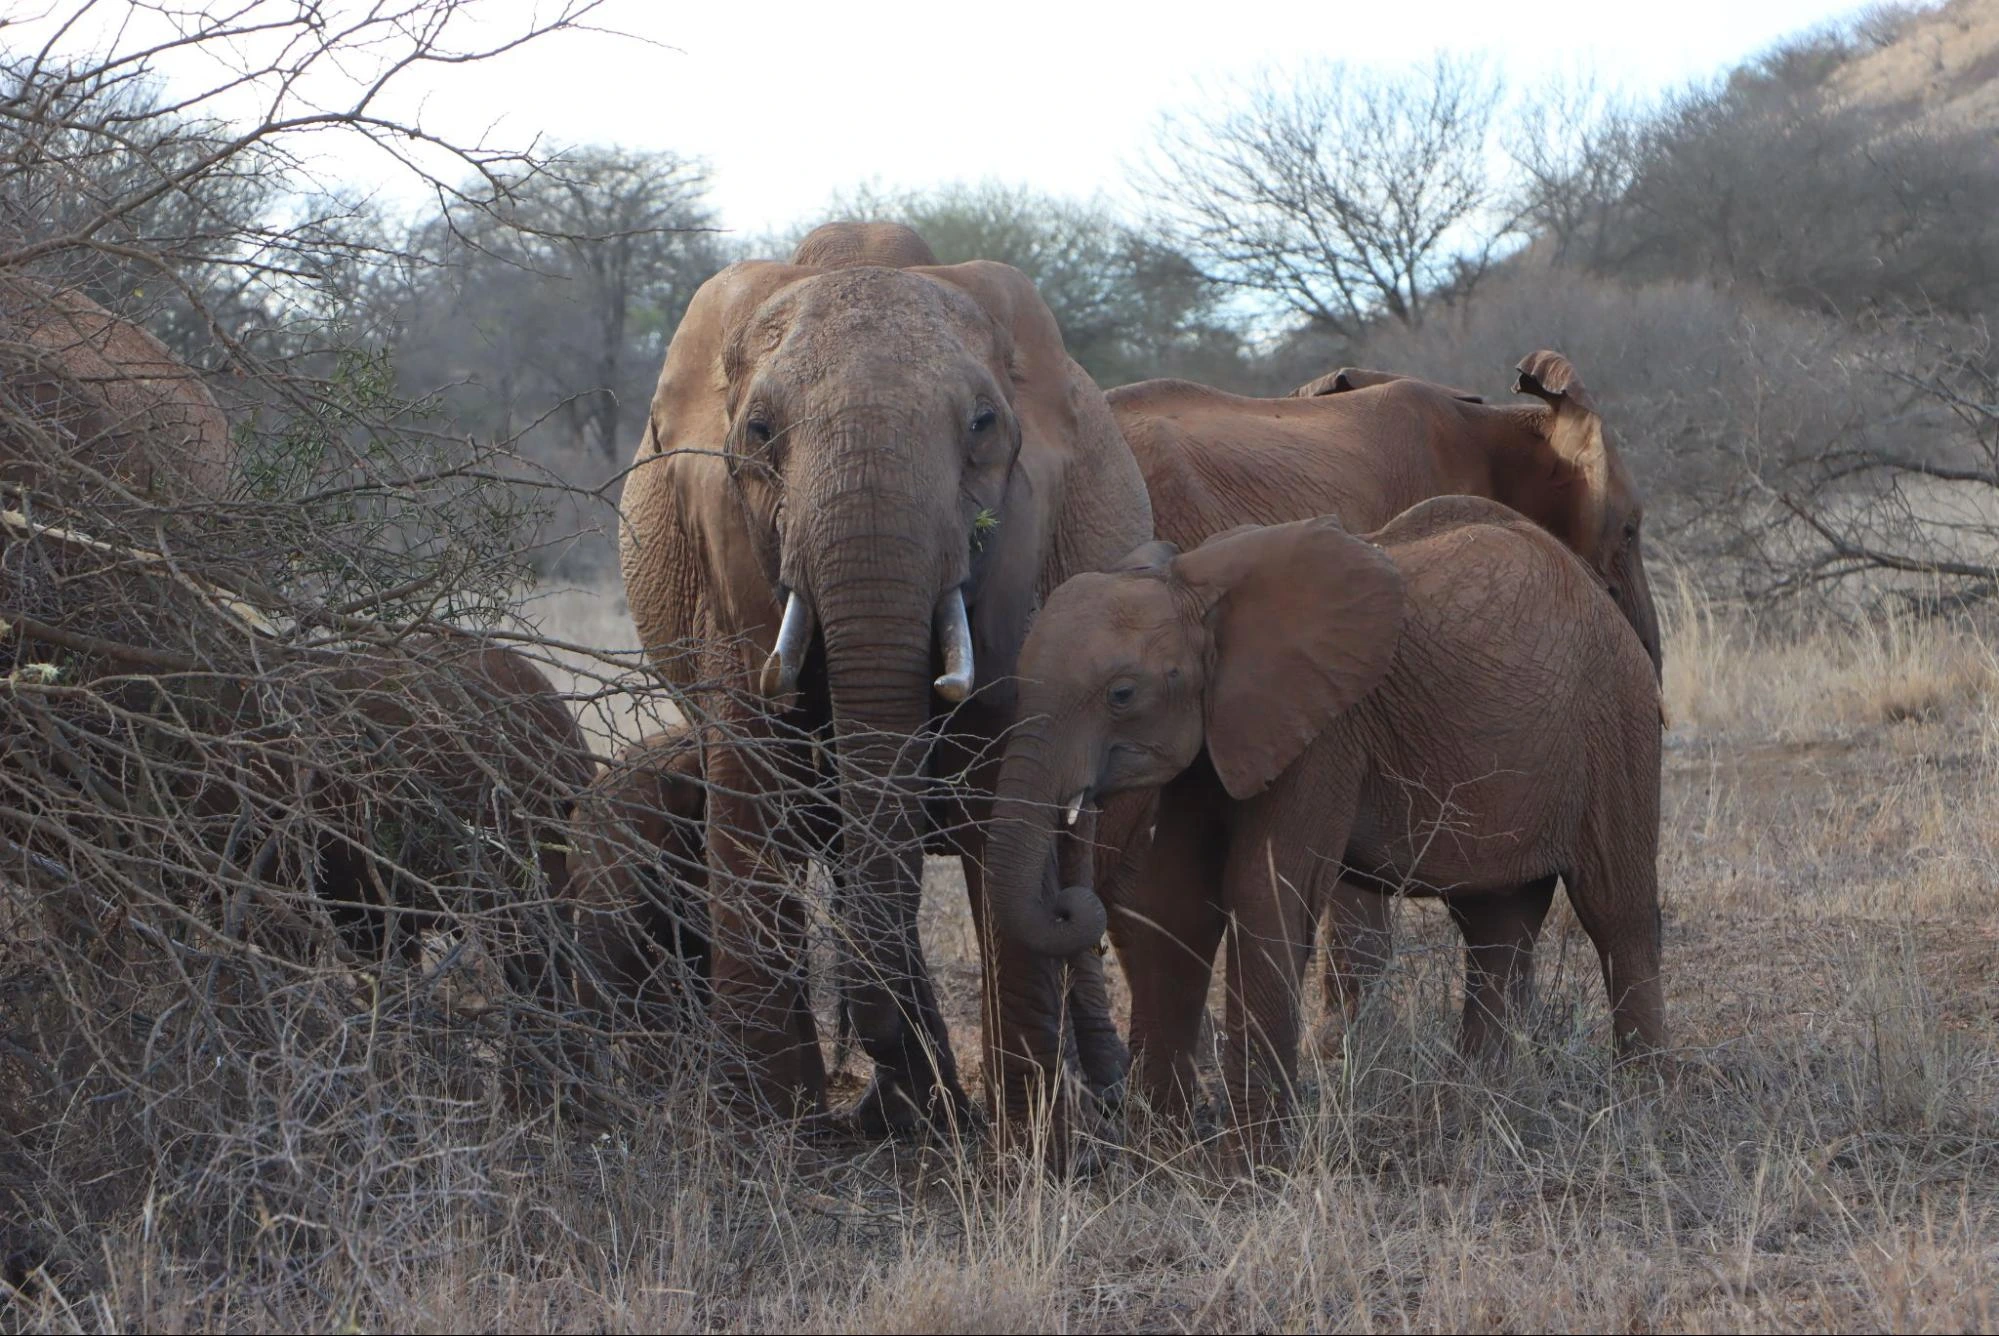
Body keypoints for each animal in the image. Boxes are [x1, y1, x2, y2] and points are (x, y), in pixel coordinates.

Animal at [615, 224, 1151, 1136]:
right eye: (759, 430)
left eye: (982, 425)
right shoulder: (727, 560)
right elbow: (753, 784)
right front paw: (769, 1131)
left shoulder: (1022, 554)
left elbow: (997, 776)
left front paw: (1029, 1141)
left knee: (1063, 841)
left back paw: (1074, 1095)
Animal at [975, 498, 1663, 1160]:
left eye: (1121, 694)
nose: (1069, 900)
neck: (1193, 586)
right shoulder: (1217, 739)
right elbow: (1174, 902)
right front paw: (1161, 1158)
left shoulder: (1326, 732)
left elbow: (1265, 893)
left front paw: (1246, 1171)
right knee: (1496, 922)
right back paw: (1470, 1106)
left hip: (1618, 721)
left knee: (1616, 909)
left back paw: (1641, 1101)